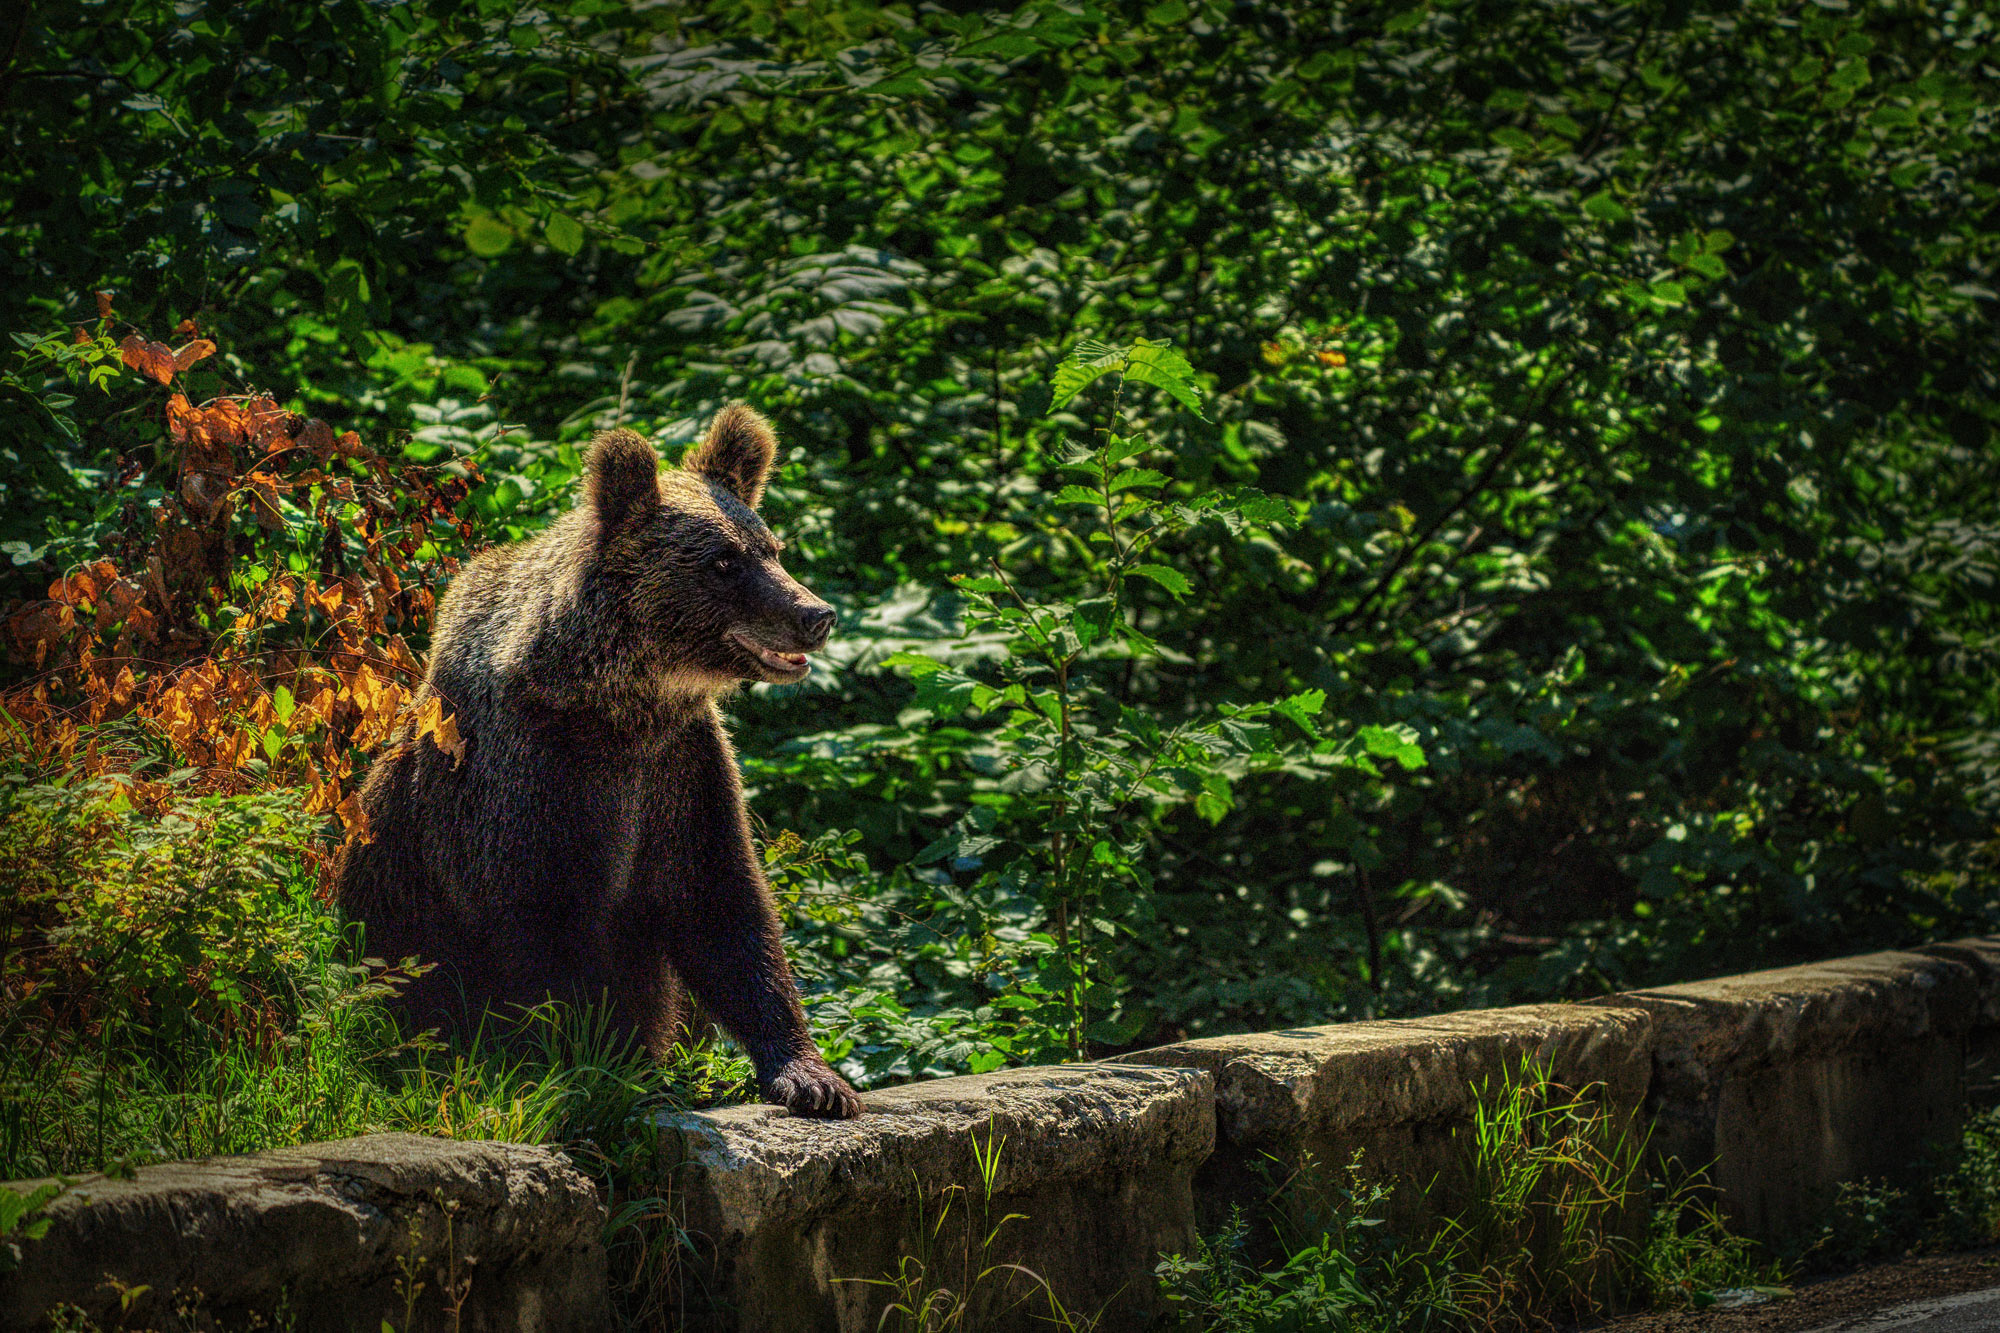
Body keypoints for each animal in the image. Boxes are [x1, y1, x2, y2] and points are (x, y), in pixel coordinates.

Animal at [338, 404, 868, 1112]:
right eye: (724, 562)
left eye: (771, 549)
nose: (816, 614)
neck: (611, 700)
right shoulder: (531, 779)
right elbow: (544, 936)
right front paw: (584, 1065)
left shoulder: (680, 767)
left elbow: (725, 906)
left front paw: (812, 1077)